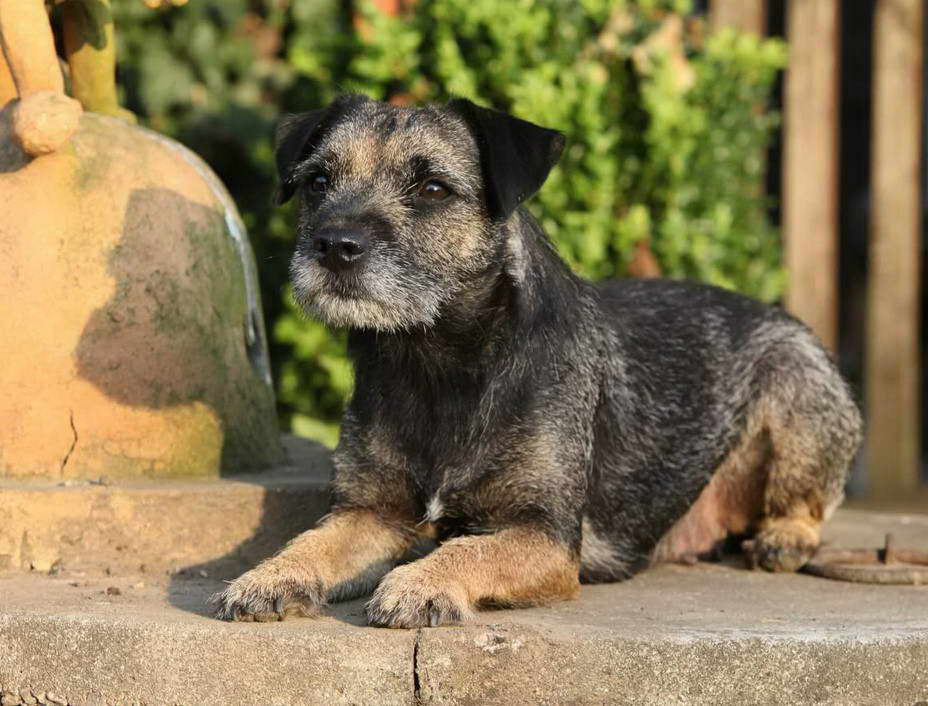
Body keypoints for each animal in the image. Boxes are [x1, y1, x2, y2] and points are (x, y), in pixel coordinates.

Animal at [214, 95, 868, 628]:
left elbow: (468, 547)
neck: (440, 364)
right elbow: (313, 542)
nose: (334, 245)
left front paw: (420, 583)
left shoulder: (546, 535)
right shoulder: (372, 513)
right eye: (318, 180)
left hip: (799, 387)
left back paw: (783, 536)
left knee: (807, 502)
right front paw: (267, 576)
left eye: (432, 189)